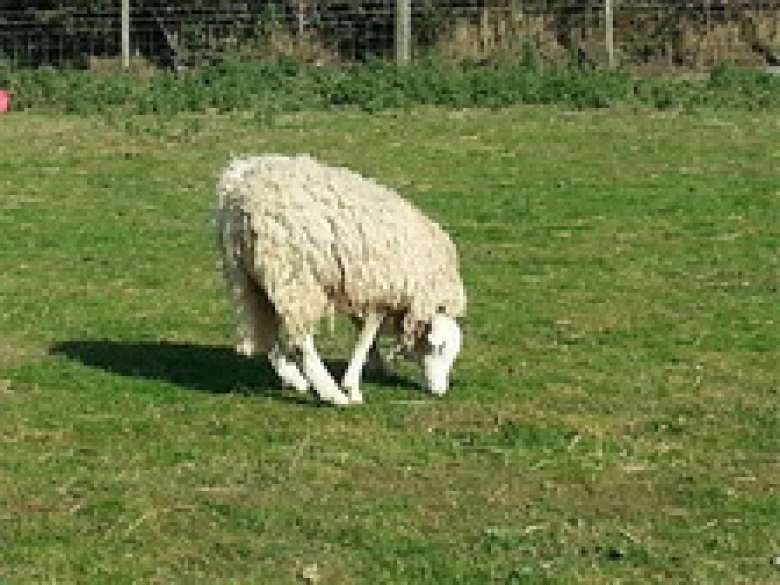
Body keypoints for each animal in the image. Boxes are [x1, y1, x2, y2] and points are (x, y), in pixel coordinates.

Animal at [216, 153, 466, 404]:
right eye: (441, 348)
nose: (440, 391)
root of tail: (238, 189)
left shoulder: (362, 289)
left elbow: (363, 330)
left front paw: (377, 366)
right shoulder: (380, 290)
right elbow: (366, 336)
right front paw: (352, 386)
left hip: (246, 276)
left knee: (262, 326)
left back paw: (292, 377)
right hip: (295, 274)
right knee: (301, 340)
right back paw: (331, 393)